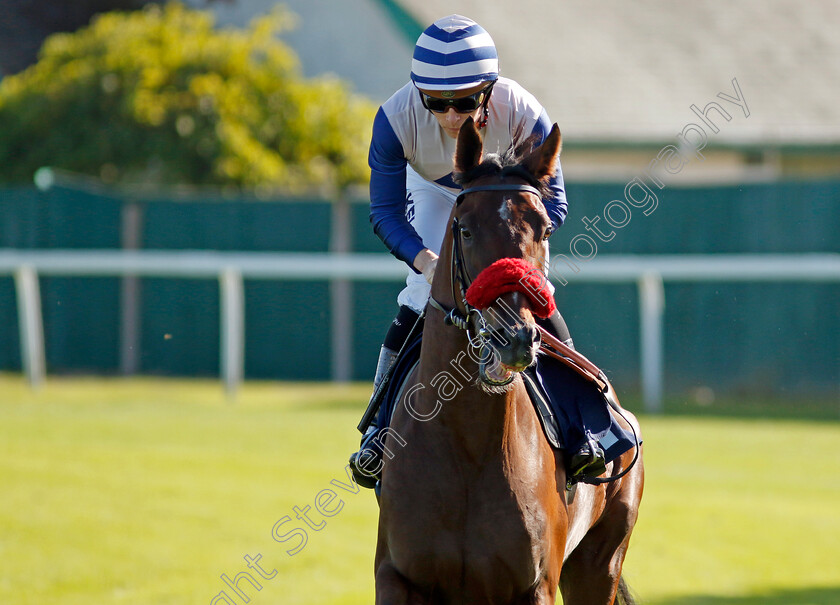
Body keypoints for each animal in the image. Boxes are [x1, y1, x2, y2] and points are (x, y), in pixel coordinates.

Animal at [374, 119, 644, 604]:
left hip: (600, 563)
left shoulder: (536, 585)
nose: (512, 337)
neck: (467, 443)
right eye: (463, 230)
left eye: (544, 230)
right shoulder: (396, 576)